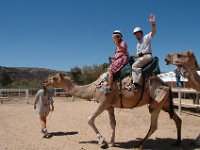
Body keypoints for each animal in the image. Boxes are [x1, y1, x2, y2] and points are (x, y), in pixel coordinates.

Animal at [42, 72, 181, 149]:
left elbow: (89, 119)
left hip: (156, 103)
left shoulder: (103, 103)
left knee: (154, 125)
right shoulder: (110, 106)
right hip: (165, 104)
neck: (93, 88)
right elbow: (112, 123)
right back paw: (177, 142)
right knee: (177, 119)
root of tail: (166, 84)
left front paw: (102, 142)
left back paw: (139, 145)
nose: (44, 82)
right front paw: (112, 142)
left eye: (54, 78)